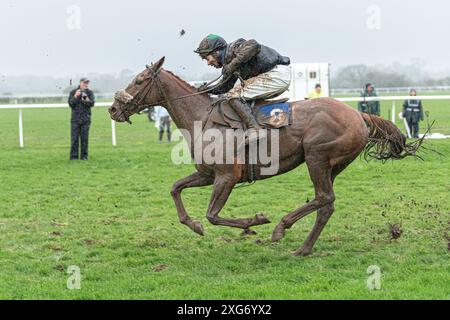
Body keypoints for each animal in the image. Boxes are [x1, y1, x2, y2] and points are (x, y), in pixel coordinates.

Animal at [108, 57, 418, 256]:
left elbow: (213, 215)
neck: (202, 118)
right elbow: (175, 189)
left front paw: (254, 222)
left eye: (139, 80)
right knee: (326, 204)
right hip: (333, 165)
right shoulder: (207, 174)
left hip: (316, 157)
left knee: (323, 198)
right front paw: (193, 225)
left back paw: (282, 228)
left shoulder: (226, 177)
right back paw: (303, 248)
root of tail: (358, 113)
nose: (112, 109)